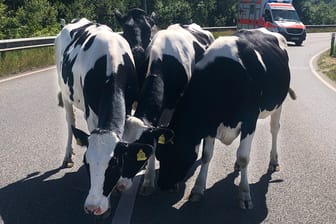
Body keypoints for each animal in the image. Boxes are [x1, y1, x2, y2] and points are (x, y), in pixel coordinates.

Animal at [55, 18, 154, 215]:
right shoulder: (91, 114)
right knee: (70, 122)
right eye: (87, 163)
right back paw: (67, 156)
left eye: (114, 164)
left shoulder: (129, 103)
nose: (92, 207)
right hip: (65, 91)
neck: (112, 65)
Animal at [154, 27, 296, 208]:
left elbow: (244, 156)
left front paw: (244, 194)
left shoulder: (249, 119)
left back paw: (273, 162)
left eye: (175, 154)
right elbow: (207, 155)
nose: (162, 185)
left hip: (279, 104)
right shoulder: (210, 124)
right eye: (159, 154)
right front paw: (197, 189)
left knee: (274, 129)